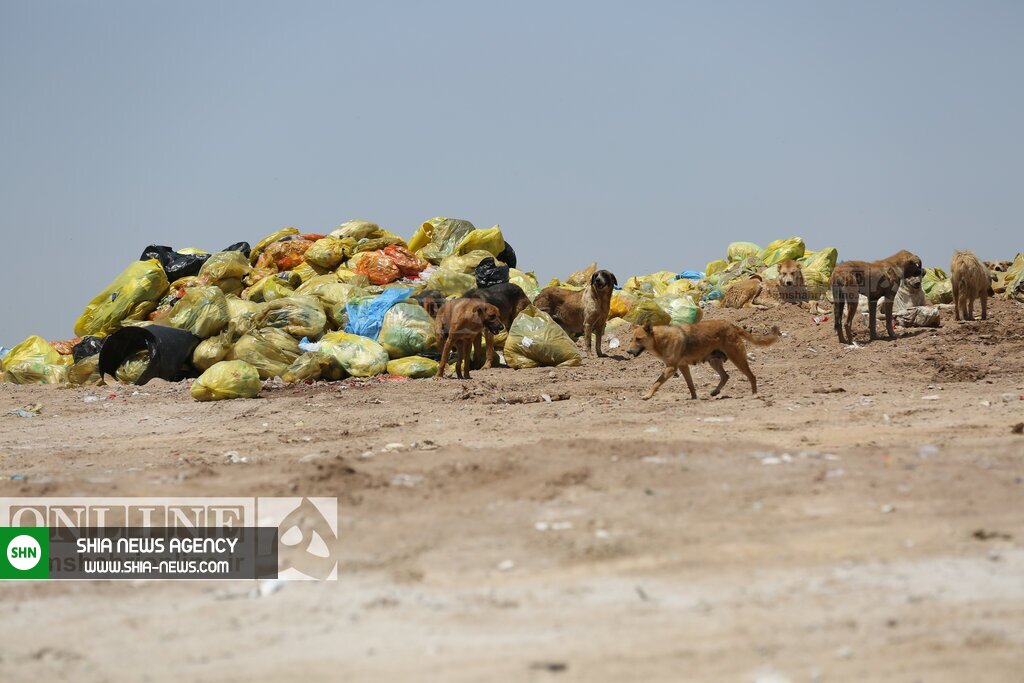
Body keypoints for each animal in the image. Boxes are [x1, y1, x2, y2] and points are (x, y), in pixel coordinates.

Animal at [622, 321, 782, 401]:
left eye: (638, 339)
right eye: (631, 339)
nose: (628, 352)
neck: (659, 339)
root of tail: (732, 325)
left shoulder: (671, 368)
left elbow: (656, 383)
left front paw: (647, 395)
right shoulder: (683, 366)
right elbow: (690, 385)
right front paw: (694, 397)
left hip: (737, 358)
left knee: (751, 376)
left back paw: (755, 394)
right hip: (714, 361)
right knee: (725, 376)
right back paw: (715, 391)